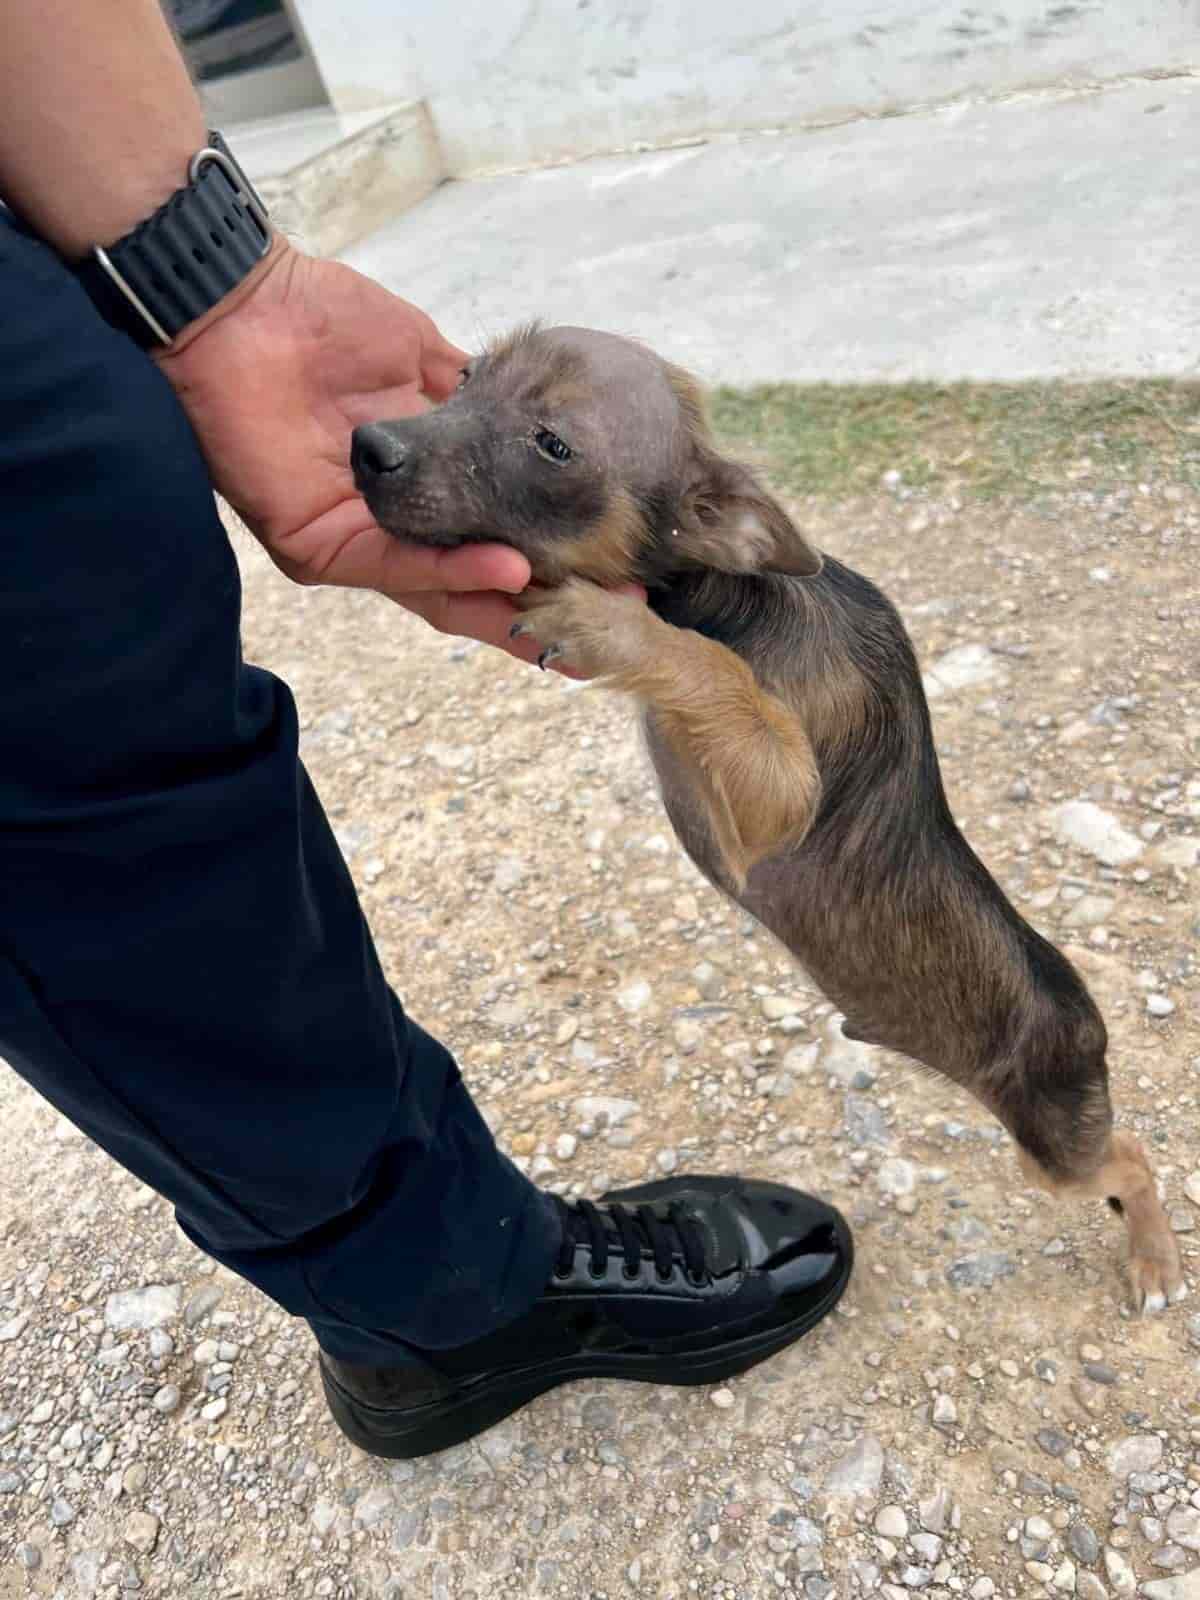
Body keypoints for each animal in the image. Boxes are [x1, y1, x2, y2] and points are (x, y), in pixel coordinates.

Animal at [352, 321, 1190, 1312]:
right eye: (467, 376)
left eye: (553, 446)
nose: (368, 445)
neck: (730, 594)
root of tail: (1088, 1020)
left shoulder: (780, 800)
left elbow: (710, 670)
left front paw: (608, 628)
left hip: (1053, 1139)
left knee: (1130, 1156)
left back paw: (1155, 1258)